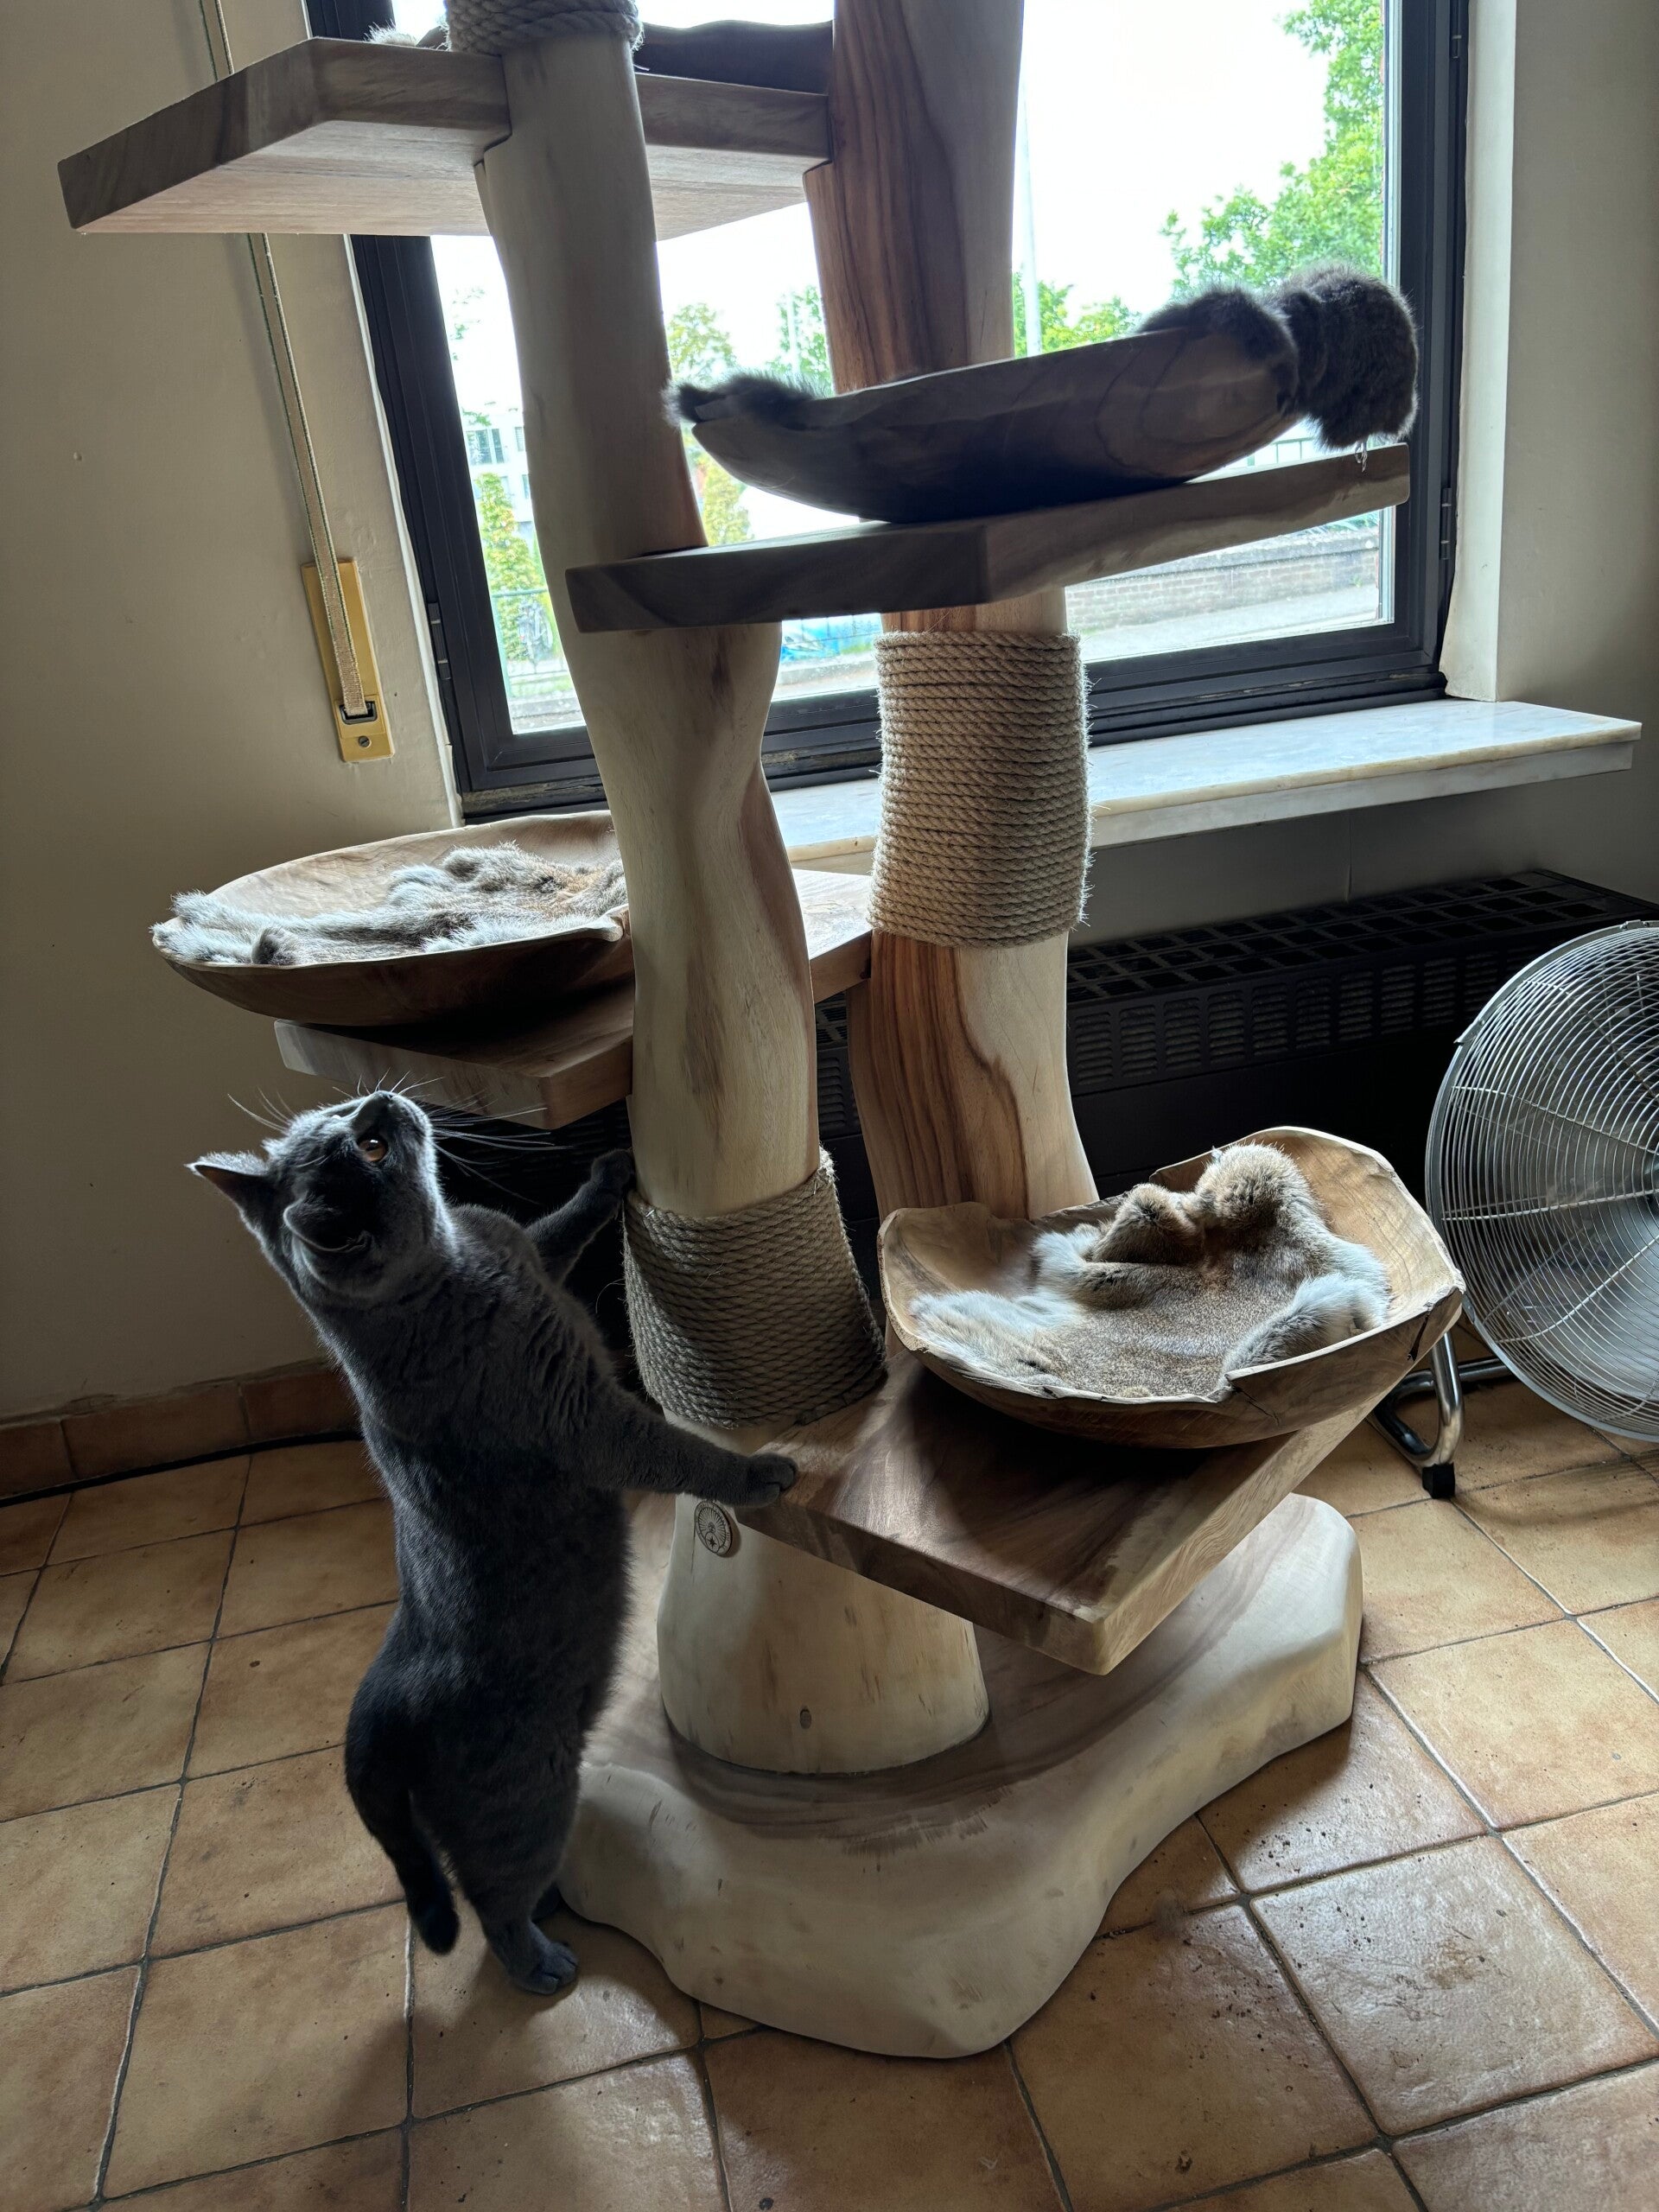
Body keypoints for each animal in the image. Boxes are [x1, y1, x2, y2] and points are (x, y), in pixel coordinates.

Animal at [192, 1090, 796, 1996]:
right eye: (370, 1149)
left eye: (346, 1116)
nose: (380, 1099)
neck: (463, 1259)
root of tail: (373, 1710)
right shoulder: (588, 1419)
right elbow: (676, 1452)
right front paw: (759, 1474)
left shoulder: (532, 1251)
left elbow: (557, 1228)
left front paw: (609, 1171)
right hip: (530, 1793)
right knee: (490, 1901)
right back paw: (544, 1961)